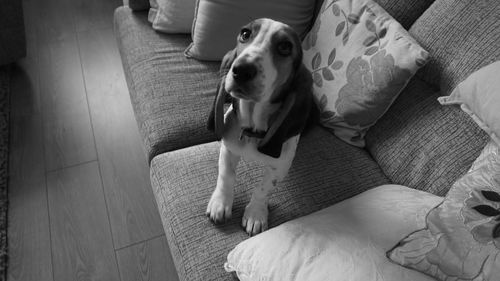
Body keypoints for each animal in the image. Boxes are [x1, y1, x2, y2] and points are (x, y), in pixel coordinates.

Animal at [205, 18, 314, 235]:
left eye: (285, 47)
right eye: (245, 34)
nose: (241, 70)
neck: (251, 130)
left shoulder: (279, 167)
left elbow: (263, 190)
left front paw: (255, 214)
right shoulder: (228, 148)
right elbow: (226, 176)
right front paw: (220, 203)